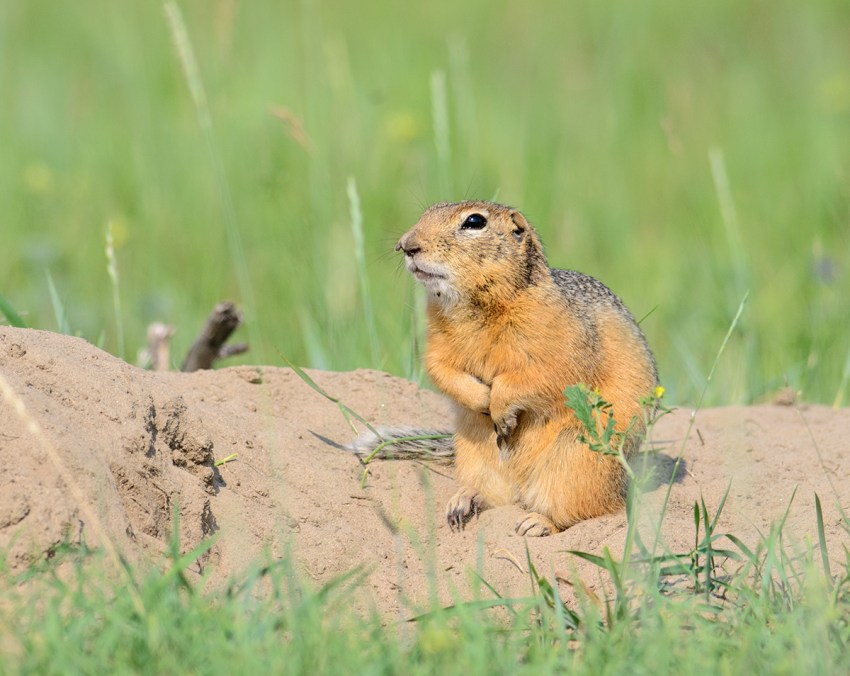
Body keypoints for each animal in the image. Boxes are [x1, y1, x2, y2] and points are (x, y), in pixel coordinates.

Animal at [352, 201, 656, 540]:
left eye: (474, 222)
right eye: (426, 212)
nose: (406, 245)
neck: (475, 305)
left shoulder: (561, 341)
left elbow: (541, 376)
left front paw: (498, 406)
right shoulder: (437, 343)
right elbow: (441, 369)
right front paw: (480, 399)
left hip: (576, 463)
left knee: (587, 509)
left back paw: (537, 522)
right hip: (475, 456)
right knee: (497, 497)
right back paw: (464, 500)